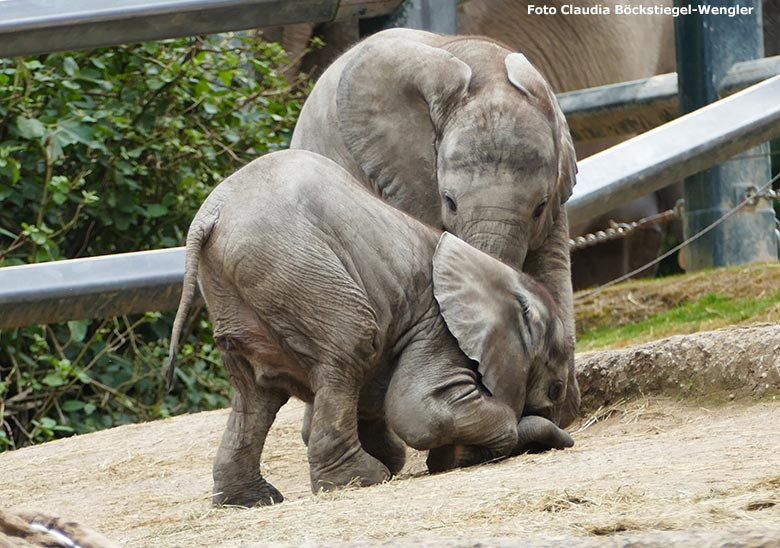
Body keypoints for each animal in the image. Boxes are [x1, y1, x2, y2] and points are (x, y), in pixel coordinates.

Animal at [168, 149, 576, 506]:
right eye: (555, 389)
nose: (564, 437)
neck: (496, 276)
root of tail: (210, 214)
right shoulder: (435, 326)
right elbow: (418, 410)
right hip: (295, 269)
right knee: (352, 347)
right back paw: (362, 480)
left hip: (237, 290)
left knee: (254, 394)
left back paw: (250, 501)